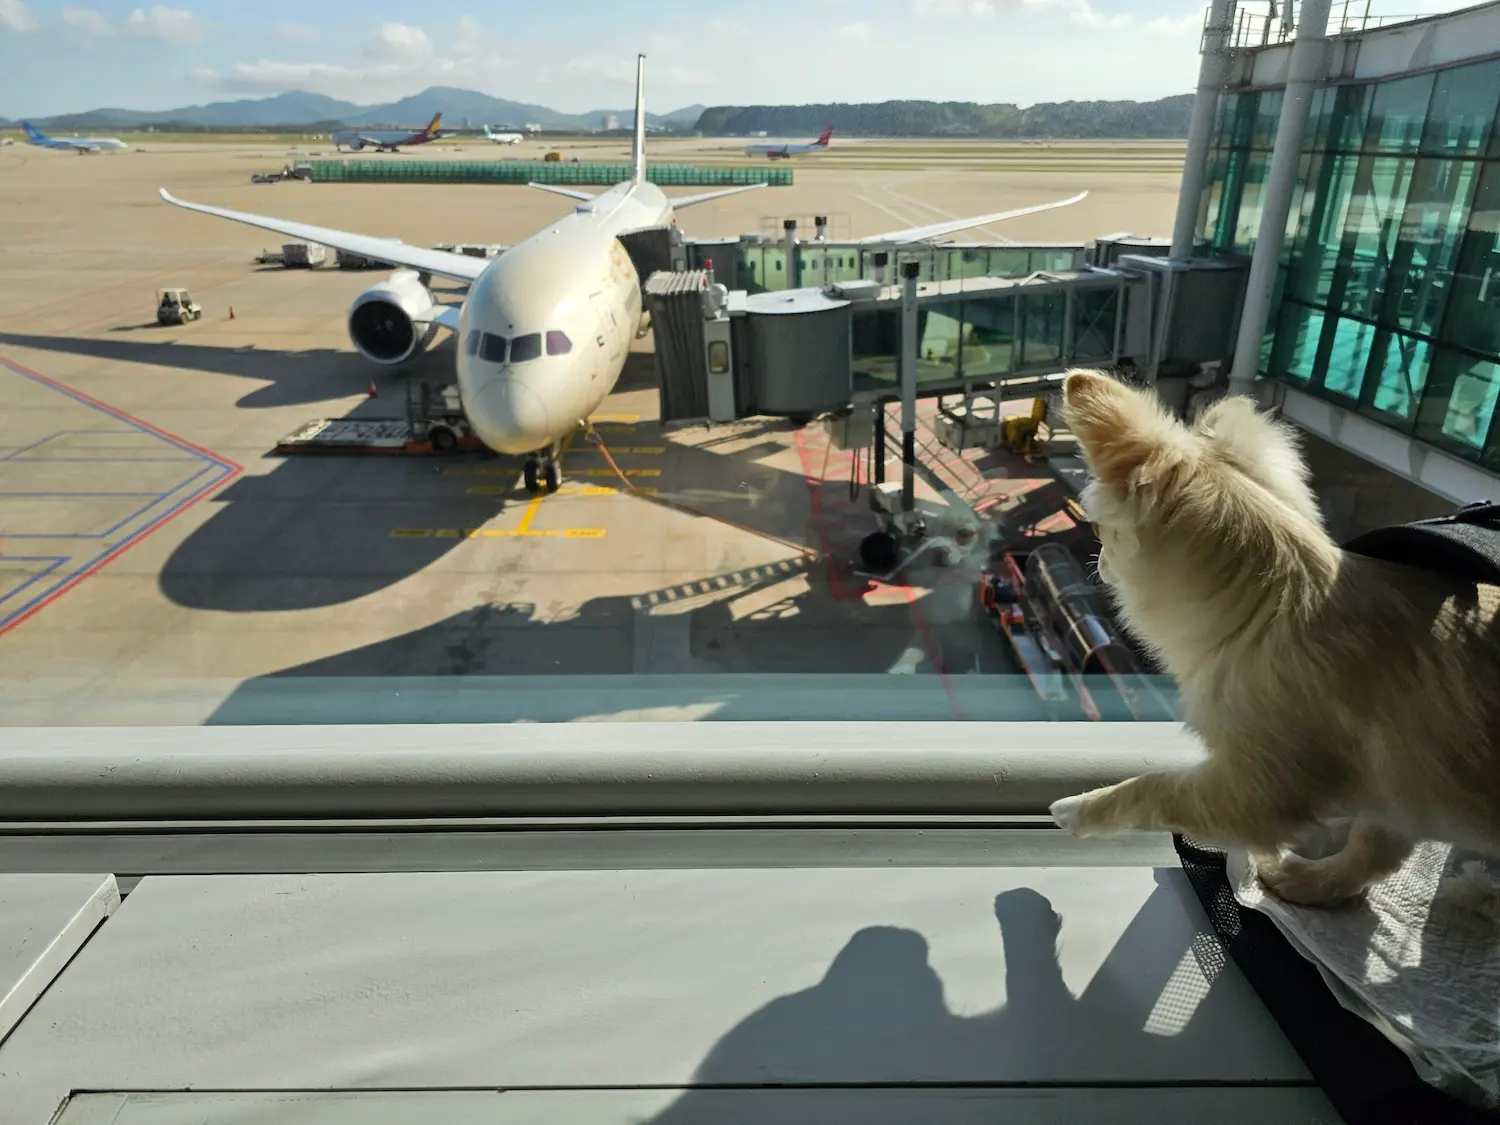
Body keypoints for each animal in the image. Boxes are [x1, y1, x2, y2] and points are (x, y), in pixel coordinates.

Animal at [1050, 370, 1500, 906]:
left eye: (1100, 529)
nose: (1096, 558)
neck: (1274, 611)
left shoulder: (1256, 792)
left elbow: (1156, 786)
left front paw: (1079, 809)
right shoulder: (1399, 802)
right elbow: (1371, 849)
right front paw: (1313, 883)